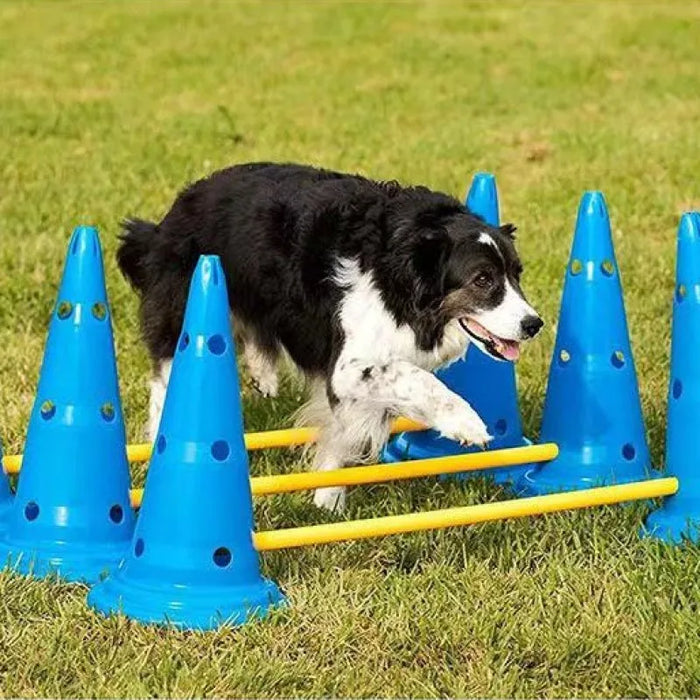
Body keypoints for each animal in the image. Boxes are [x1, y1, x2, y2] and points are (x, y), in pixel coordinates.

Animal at [117, 165, 540, 516]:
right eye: (482, 280)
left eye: (517, 274)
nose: (533, 324)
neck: (398, 273)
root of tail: (172, 213)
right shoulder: (348, 367)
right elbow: (412, 378)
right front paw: (465, 423)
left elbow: (346, 428)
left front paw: (327, 499)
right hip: (184, 307)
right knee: (165, 378)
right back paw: (157, 443)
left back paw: (263, 373)